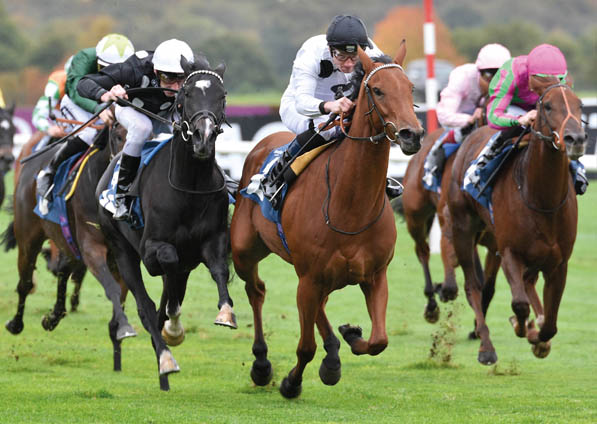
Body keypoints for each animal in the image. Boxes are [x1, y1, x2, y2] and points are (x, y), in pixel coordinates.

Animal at [0, 123, 136, 372]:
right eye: (117, 135)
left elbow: (119, 298)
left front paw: (119, 346)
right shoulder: (92, 246)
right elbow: (111, 288)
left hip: (68, 243)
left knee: (63, 270)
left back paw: (53, 317)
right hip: (28, 239)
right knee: (25, 283)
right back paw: (16, 323)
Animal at [95, 54, 233, 392]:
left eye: (221, 95)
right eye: (187, 94)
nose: (203, 137)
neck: (189, 187)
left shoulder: (212, 240)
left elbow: (218, 270)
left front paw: (225, 312)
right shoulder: (151, 249)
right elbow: (168, 263)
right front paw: (171, 326)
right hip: (121, 250)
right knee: (144, 306)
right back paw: (165, 360)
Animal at [229, 44, 424, 400]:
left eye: (411, 89)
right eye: (377, 90)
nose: (411, 135)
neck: (350, 206)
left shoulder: (375, 275)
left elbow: (379, 340)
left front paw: (350, 336)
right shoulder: (308, 276)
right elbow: (305, 347)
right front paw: (291, 383)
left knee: (318, 303)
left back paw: (333, 350)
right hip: (245, 252)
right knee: (257, 291)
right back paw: (262, 365)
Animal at [448, 80, 584, 364]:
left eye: (579, 104)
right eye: (547, 106)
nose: (575, 139)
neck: (541, 200)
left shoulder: (559, 262)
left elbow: (550, 323)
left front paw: (539, 339)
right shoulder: (509, 251)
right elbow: (519, 304)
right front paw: (521, 326)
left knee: (528, 283)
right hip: (462, 228)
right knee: (473, 287)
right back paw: (486, 347)